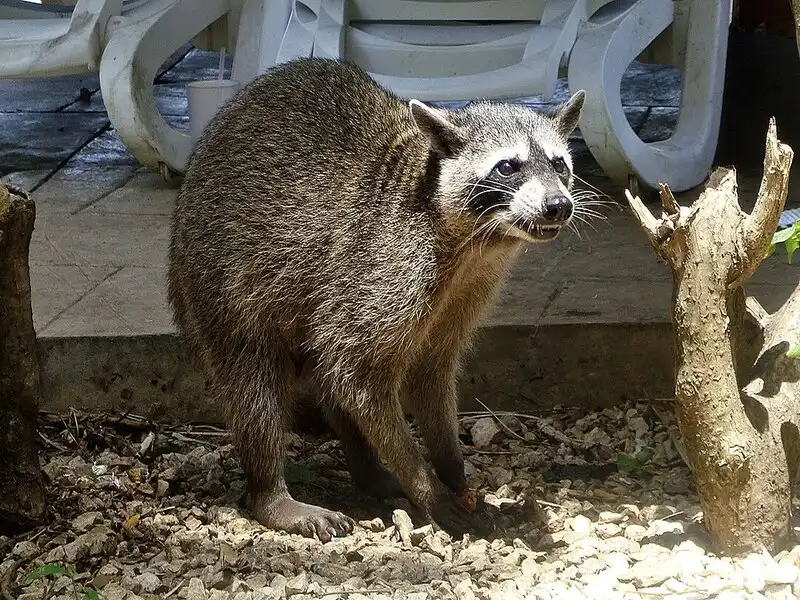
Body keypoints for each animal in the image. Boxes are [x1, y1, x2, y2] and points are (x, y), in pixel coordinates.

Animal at [166, 56, 584, 540]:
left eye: (559, 163)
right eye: (508, 167)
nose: (558, 205)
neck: (476, 242)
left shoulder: (470, 286)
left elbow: (430, 373)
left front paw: (452, 469)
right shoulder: (384, 267)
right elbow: (359, 378)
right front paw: (425, 483)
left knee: (324, 377)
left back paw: (366, 471)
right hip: (217, 285)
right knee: (255, 382)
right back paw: (271, 491)